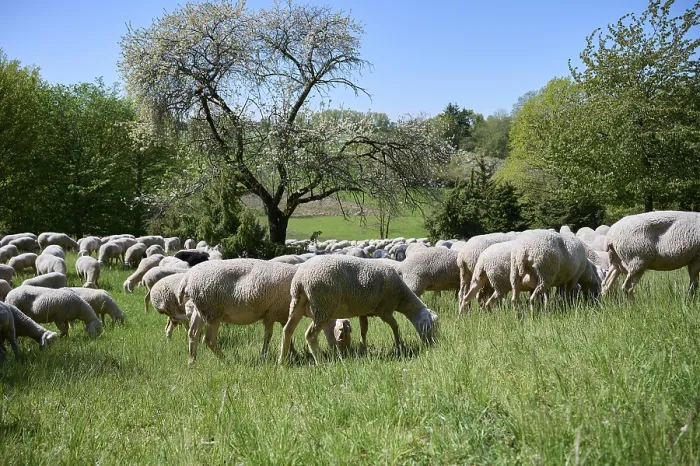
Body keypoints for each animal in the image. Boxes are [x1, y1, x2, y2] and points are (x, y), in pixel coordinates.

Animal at [280, 255, 438, 365]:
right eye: (430, 326)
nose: (433, 344)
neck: (402, 297)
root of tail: (300, 279)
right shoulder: (385, 311)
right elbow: (395, 326)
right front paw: (399, 345)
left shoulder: (365, 311)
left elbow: (364, 329)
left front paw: (363, 349)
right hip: (323, 306)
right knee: (310, 335)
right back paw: (320, 362)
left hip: (297, 304)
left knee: (287, 330)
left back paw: (282, 361)